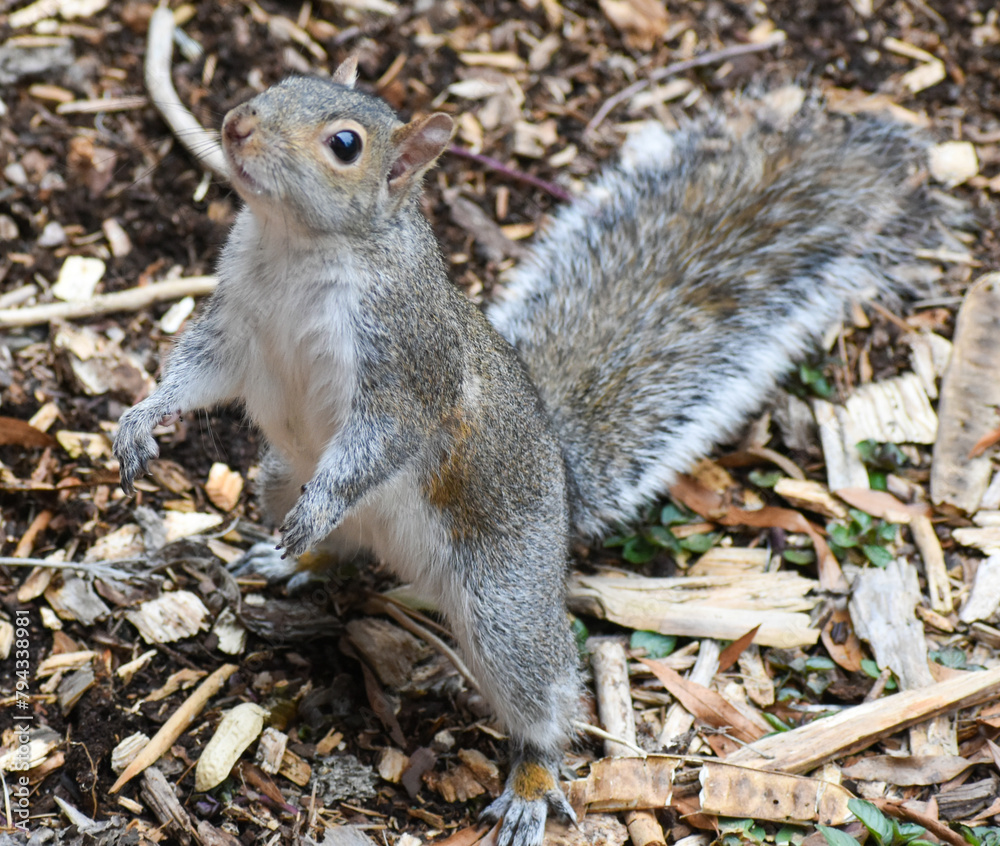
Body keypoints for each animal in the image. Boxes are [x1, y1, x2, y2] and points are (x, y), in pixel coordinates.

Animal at [113, 58, 960, 846]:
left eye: (344, 145)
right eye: (284, 82)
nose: (236, 124)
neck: (297, 247)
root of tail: (562, 489)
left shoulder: (408, 369)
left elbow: (379, 443)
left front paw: (314, 500)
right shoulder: (236, 323)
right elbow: (196, 371)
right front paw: (139, 420)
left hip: (502, 604)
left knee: (546, 692)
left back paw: (531, 780)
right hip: (277, 475)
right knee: (346, 548)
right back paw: (292, 556)